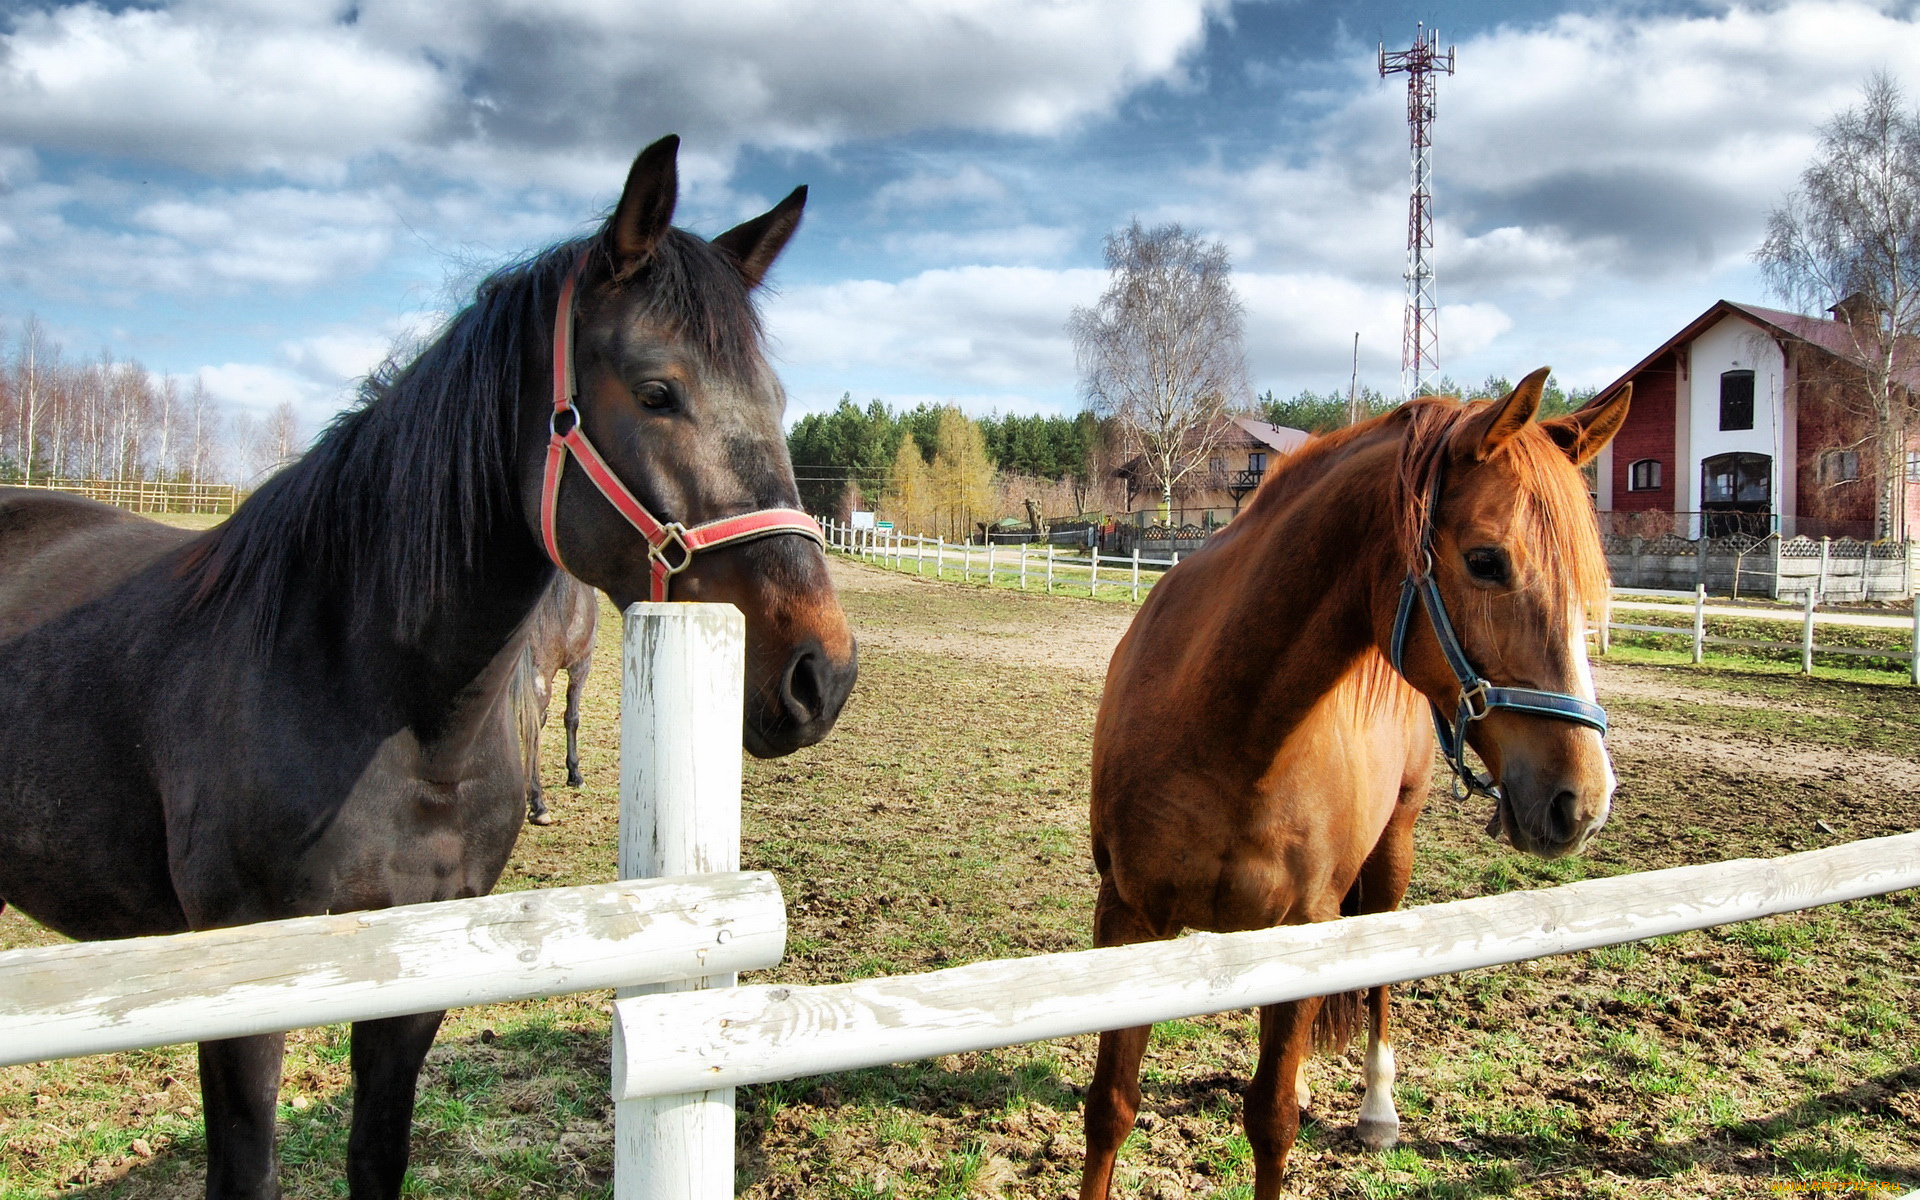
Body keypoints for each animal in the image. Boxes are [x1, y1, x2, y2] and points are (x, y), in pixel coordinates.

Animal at [1075, 370, 1628, 1190]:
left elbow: (1271, 1120)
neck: (1230, 724)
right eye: (1486, 561)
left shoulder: (1307, 923)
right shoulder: (1128, 917)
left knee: (1376, 982)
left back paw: (1377, 1109)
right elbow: (1111, 1108)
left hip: (1391, 855)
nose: (1582, 801)